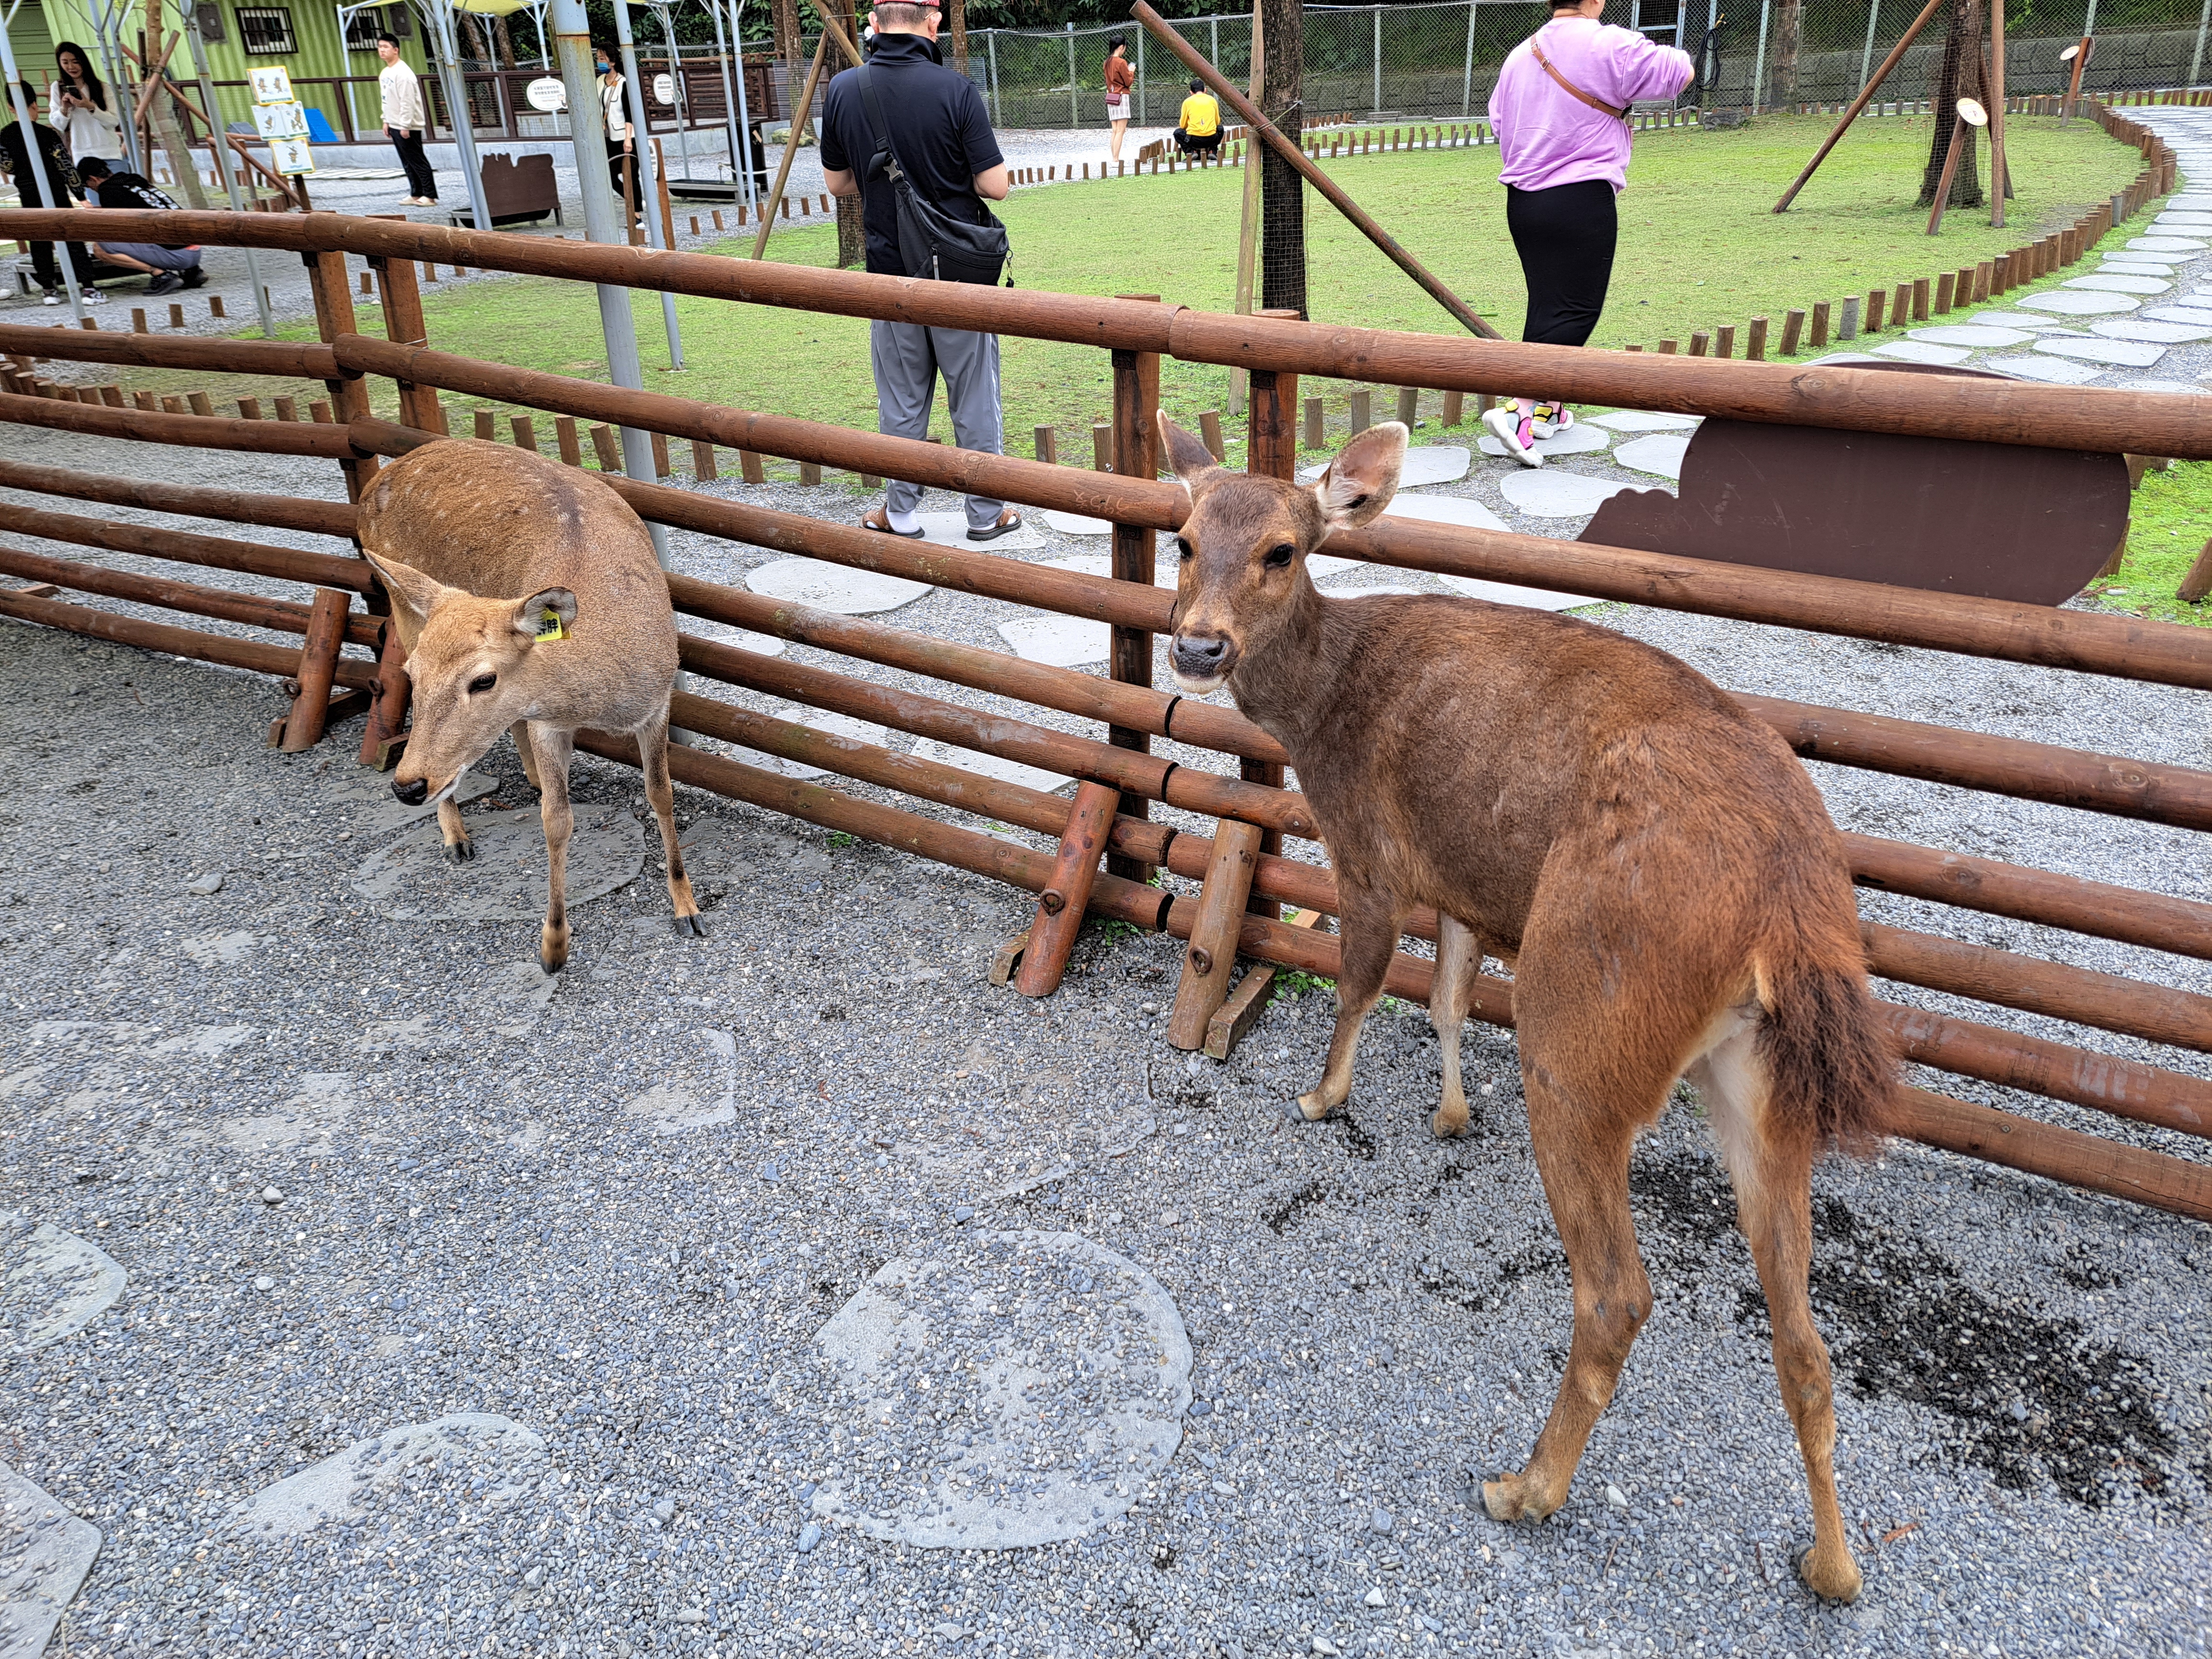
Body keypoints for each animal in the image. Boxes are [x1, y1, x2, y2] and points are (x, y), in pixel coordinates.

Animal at [357, 439, 704, 974]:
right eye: (415, 676)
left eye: (484, 679)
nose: (408, 787)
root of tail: (376, 480)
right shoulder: (549, 724)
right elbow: (556, 822)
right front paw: (553, 946)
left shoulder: (658, 702)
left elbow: (662, 794)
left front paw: (688, 909)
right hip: (403, 605)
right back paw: (457, 838)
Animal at [1157, 413, 1893, 1605]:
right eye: (1180, 539)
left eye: (1281, 549)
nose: (1196, 649)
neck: (1317, 710)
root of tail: (1788, 908)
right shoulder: (1462, 880)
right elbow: (1451, 998)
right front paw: (1451, 1113)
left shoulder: (1367, 849)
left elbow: (1364, 979)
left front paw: (1320, 1097)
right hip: (1758, 1080)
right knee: (1805, 1339)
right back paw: (1829, 1566)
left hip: (1581, 1029)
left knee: (1615, 1293)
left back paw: (1524, 1488)